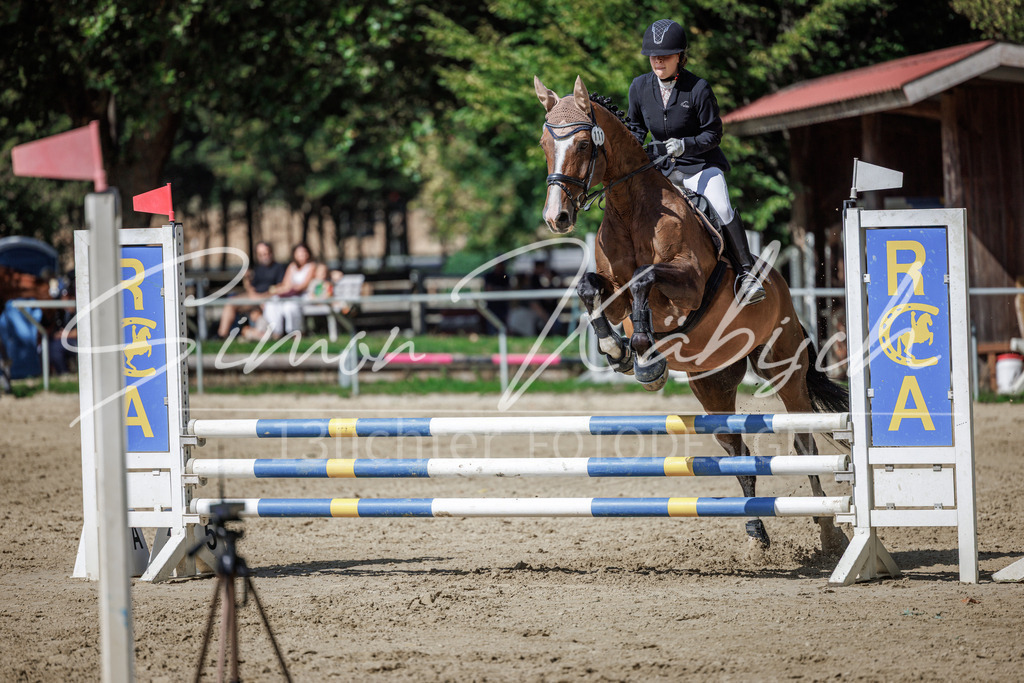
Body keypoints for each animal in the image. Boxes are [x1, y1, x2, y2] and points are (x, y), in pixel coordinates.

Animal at [535, 75, 849, 557]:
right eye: (544, 144)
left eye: (585, 144)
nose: (558, 217)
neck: (630, 209)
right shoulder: (613, 293)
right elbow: (591, 288)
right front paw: (618, 351)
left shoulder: (687, 285)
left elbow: (645, 279)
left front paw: (644, 356)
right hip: (712, 384)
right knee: (735, 448)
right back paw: (755, 529)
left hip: (782, 367)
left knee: (803, 440)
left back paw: (829, 529)